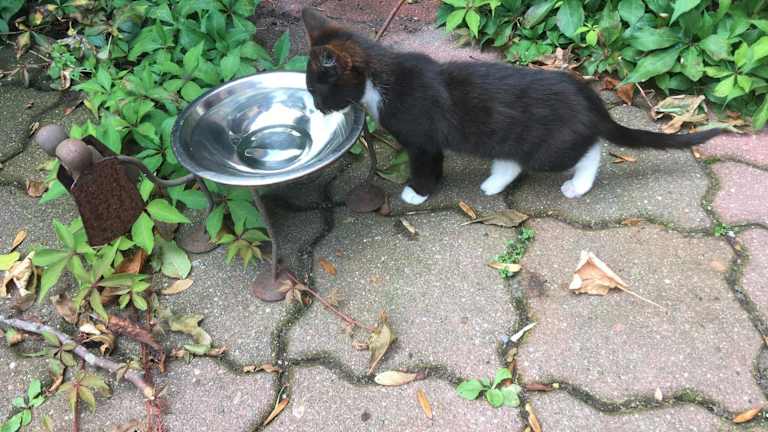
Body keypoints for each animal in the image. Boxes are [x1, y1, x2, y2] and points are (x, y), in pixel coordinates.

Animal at [301, 8, 723, 205]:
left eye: (319, 91)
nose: (318, 109)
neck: (380, 78)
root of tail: (592, 102)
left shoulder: (422, 139)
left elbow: (425, 164)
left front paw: (417, 192)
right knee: (513, 159)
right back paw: (494, 182)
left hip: (552, 147)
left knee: (590, 149)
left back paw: (579, 184)